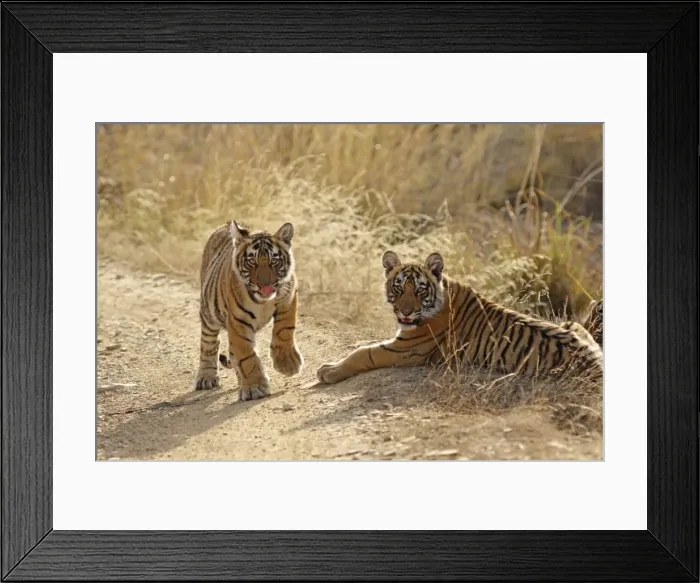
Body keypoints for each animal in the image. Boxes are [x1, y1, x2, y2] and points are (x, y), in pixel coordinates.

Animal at [195, 220, 303, 401]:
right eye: (252, 261)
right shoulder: (238, 320)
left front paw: (287, 364)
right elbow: (246, 356)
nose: (265, 284)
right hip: (209, 314)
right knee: (209, 344)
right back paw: (206, 378)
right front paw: (254, 388)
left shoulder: (288, 297)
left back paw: (240, 380)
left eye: (274, 261)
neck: (264, 301)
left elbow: (284, 330)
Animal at [316, 250, 602, 385]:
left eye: (419, 290)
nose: (405, 312)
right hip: (573, 324)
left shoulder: (406, 350)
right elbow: (362, 346)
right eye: (398, 288)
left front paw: (328, 371)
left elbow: (364, 353)